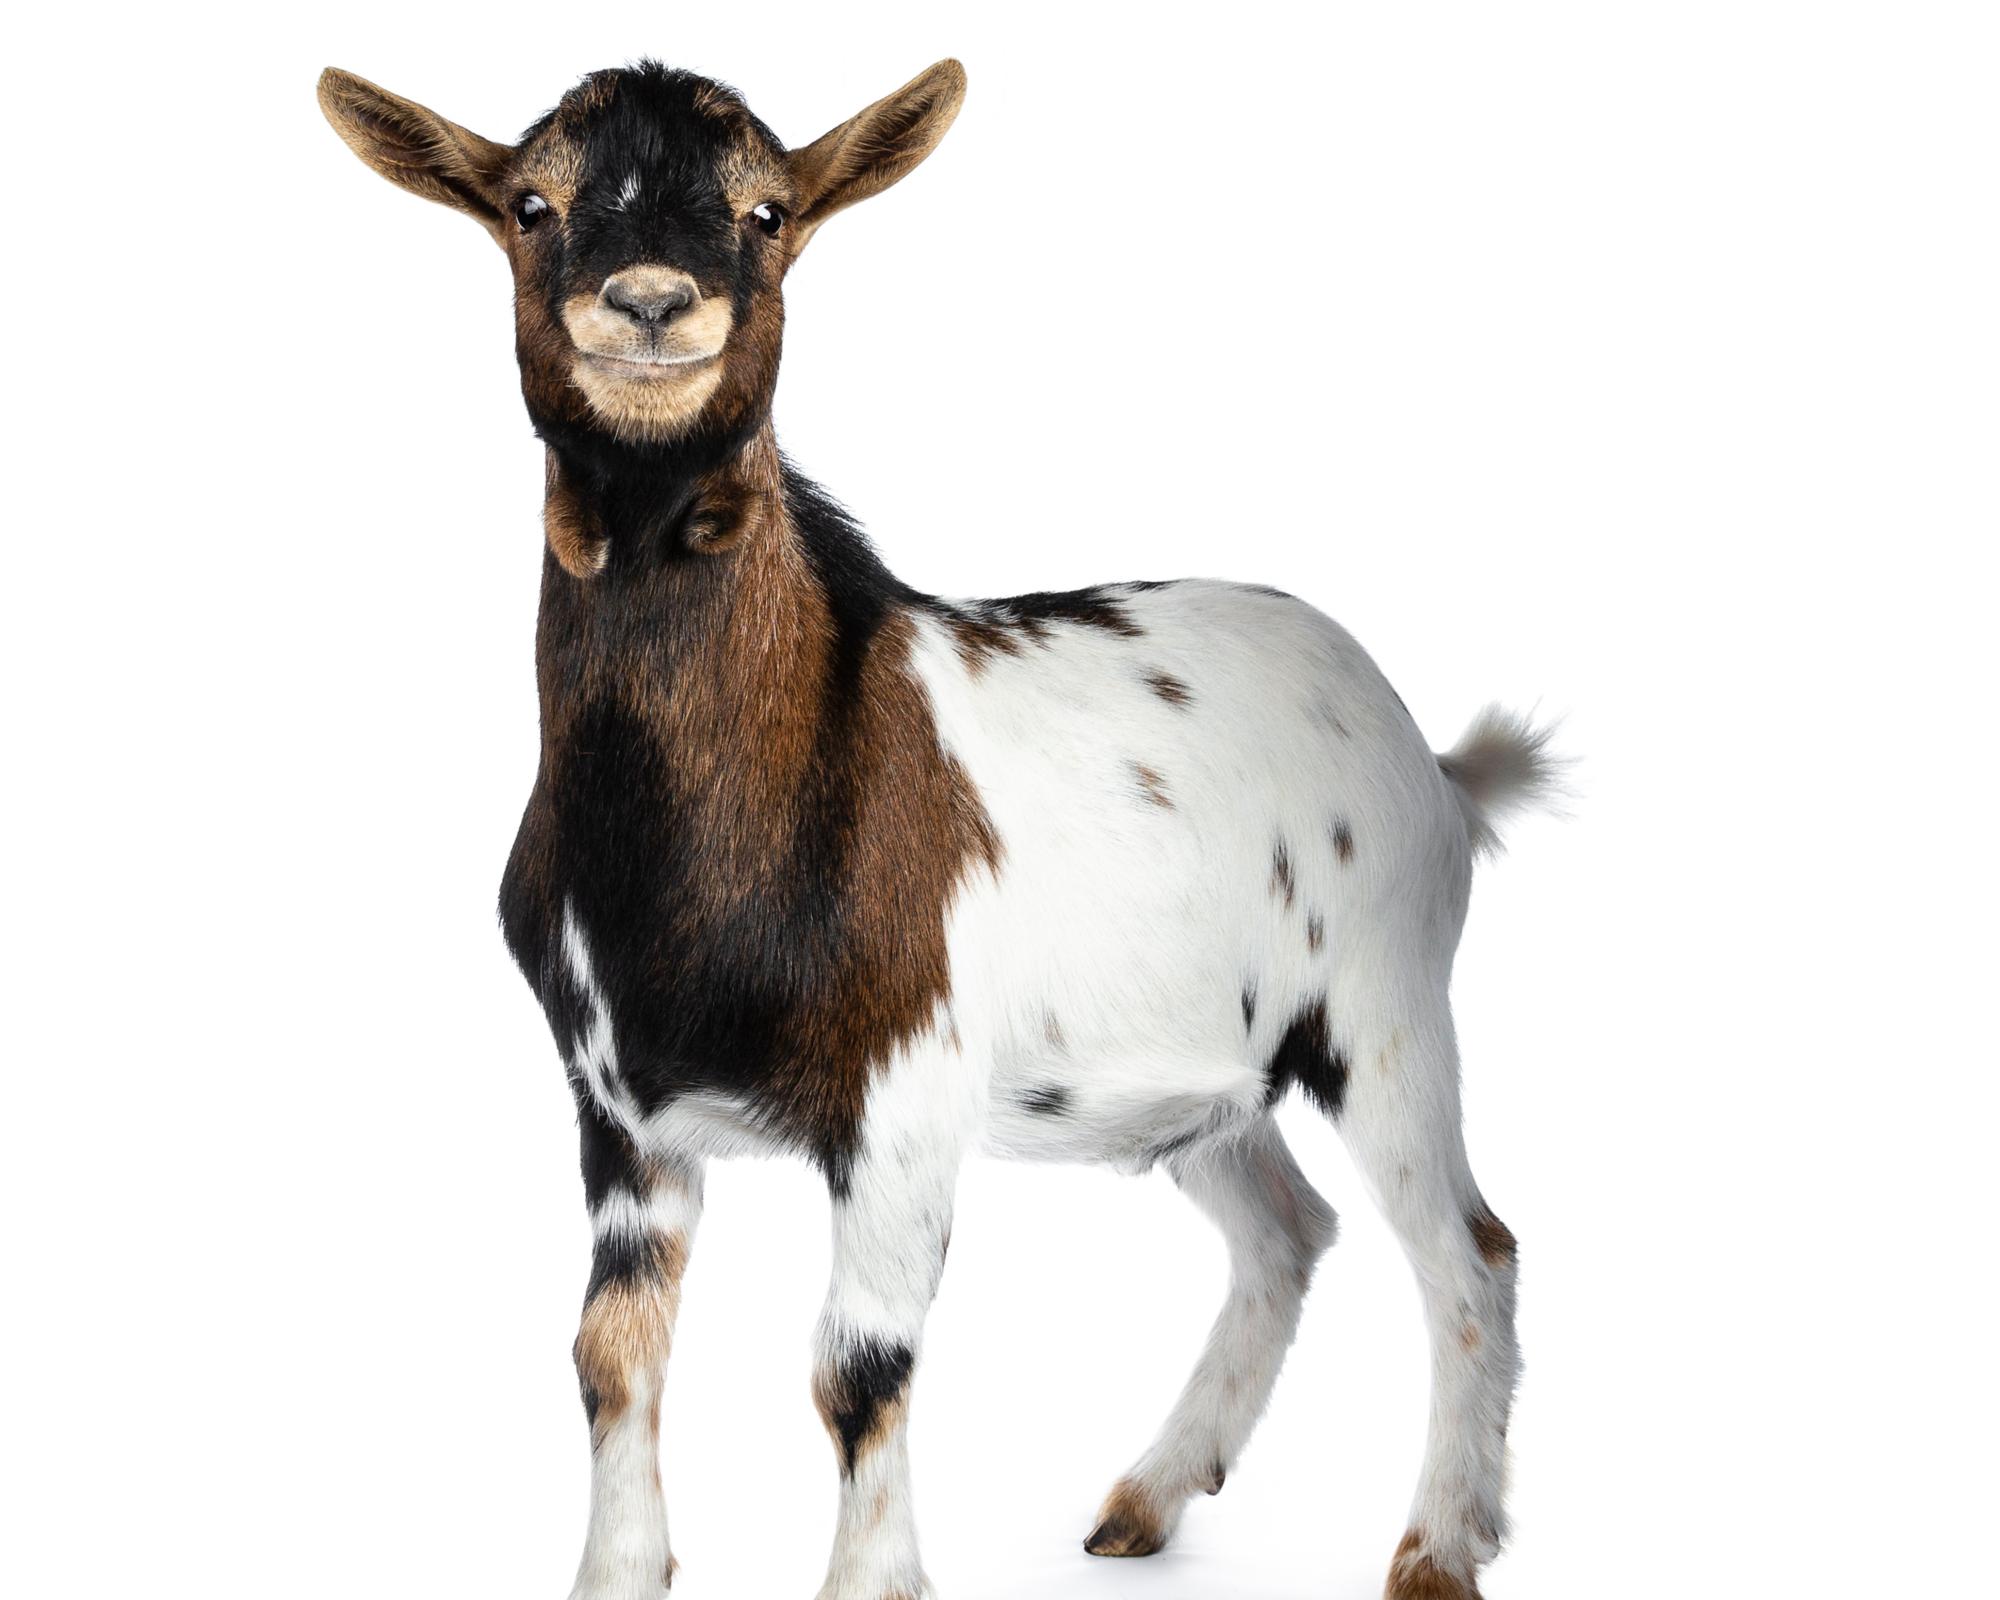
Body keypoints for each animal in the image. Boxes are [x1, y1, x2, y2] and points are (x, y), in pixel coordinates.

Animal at [318, 58, 1560, 1600]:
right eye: (529, 204)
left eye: (769, 210)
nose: (652, 305)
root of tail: (1435, 764)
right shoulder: (616, 1109)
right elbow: (613, 1351)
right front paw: (615, 1570)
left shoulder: (904, 1093)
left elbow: (860, 1365)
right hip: (1197, 1072)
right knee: (1287, 1229)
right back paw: (1149, 1498)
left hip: (1385, 1012)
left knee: (1468, 1250)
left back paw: (1440, 1545)